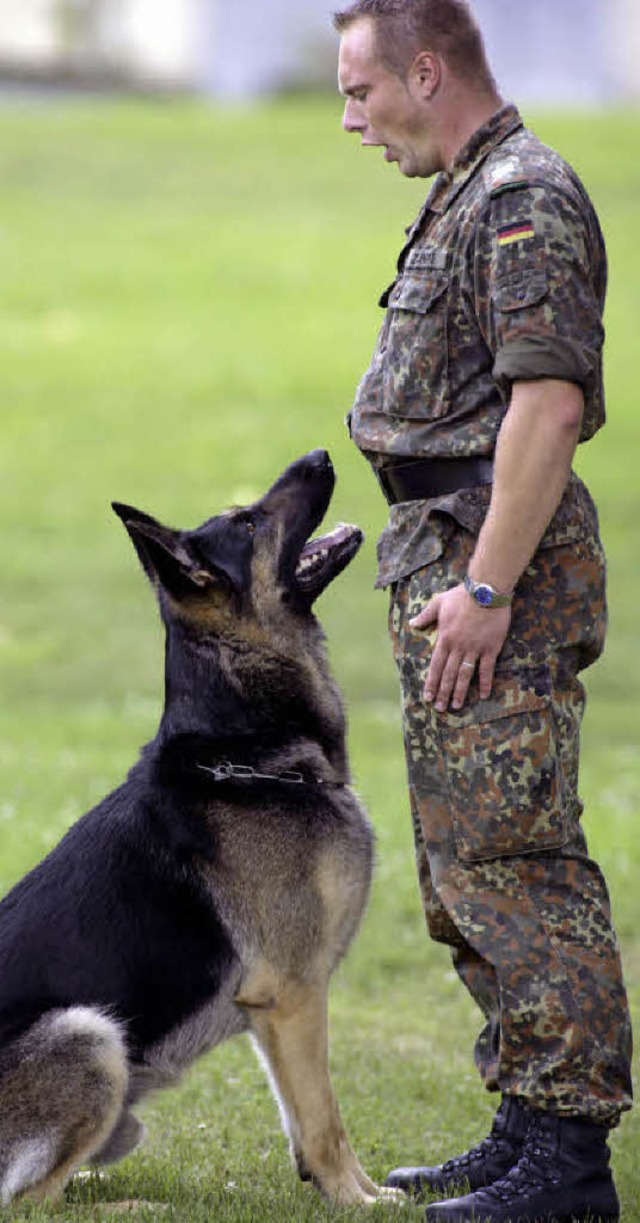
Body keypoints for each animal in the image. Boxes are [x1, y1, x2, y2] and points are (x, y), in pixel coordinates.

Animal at [0, 447, 396, 1203]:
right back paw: (136, 1206)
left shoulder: (273, 1013)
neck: (244, 755)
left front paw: (353, 1191)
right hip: (90, 1036)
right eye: (247, 521)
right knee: (35, 1201)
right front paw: (357, 1201)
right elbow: (326, 1118)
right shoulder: (294, 996)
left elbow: (302, 1117)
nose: (323, 453)